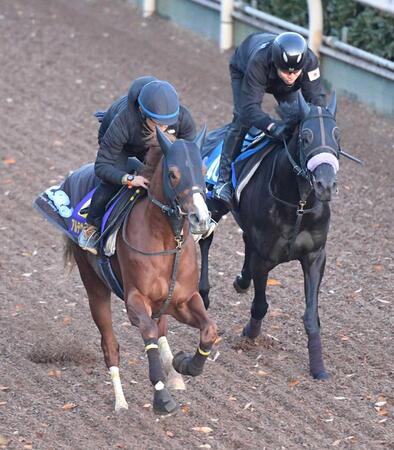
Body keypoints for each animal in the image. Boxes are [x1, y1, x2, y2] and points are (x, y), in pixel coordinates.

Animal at [66, 127, 217, 414]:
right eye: (173, 174)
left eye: (203, 170)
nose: (200, 218)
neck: (169, 242)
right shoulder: (135, 300)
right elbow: (148, 334)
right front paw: (161, 396)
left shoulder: (183, 300)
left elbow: (208, 330)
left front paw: (185, 364)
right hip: (95, 287)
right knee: (110, 345)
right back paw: (121, 402)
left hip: (163, 304)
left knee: (163, 330)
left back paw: (175, 375)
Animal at [199, 94, 340, 380]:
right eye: (305, 137)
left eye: (336, 135)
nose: (326, 185)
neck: (299, 205)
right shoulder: (264, 258)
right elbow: (261, 305)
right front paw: (250, 333)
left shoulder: (315, 256)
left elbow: (311, 317)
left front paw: (318, 367)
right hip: (213, 205)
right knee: (205, 241)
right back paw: (204, 293)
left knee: (244, 241)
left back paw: (241, 281)